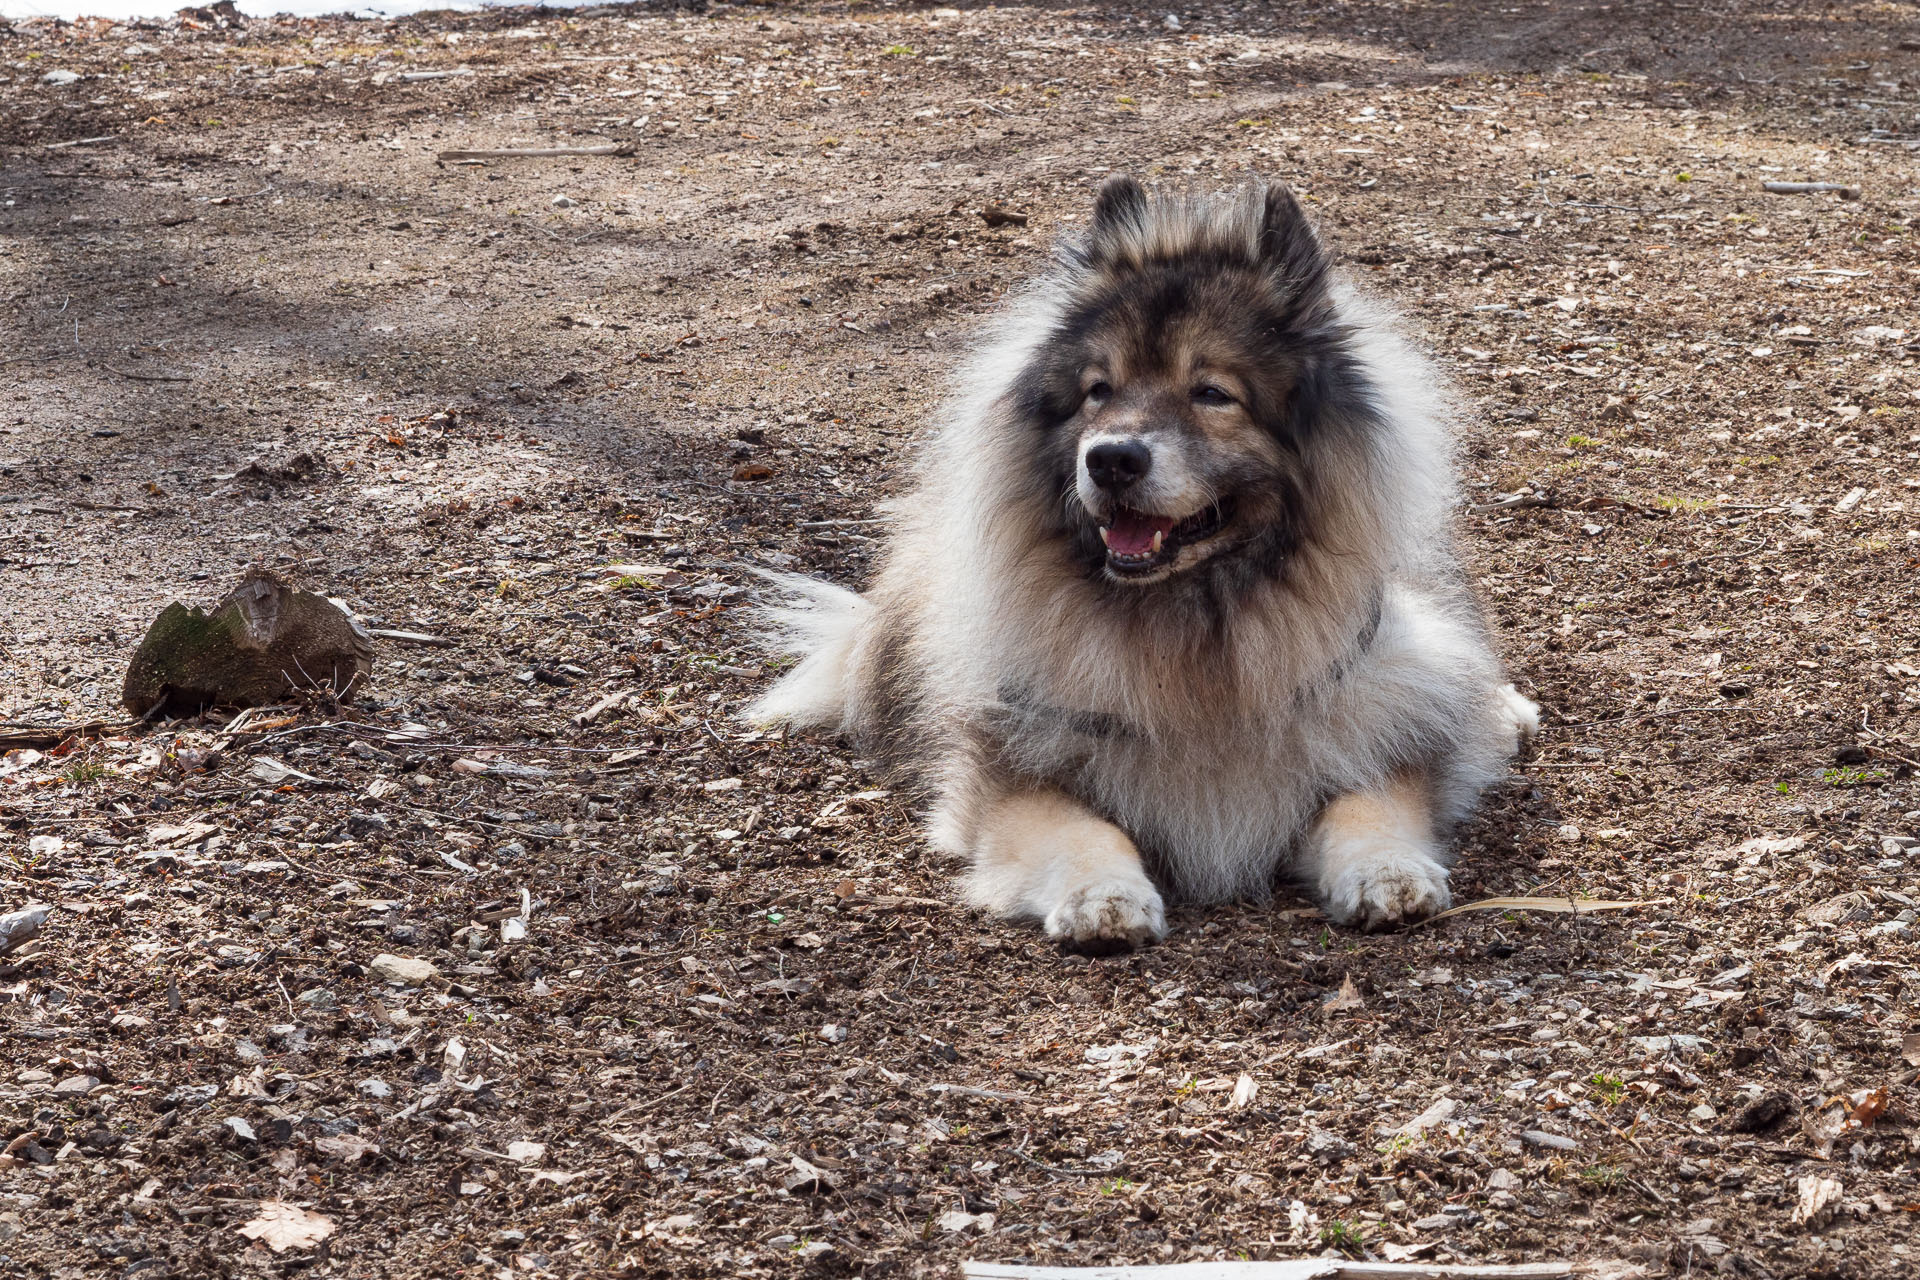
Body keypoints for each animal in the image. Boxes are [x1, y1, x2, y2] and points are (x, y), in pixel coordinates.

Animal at [741, 175, 1536, 948]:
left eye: (1212, 393)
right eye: (1100, 391)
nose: (1112, 459)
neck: (1197, 638)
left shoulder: (1378, 718)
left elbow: (1371, 800)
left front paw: (1390, 873)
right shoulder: (1012, 768)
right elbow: (1082, 829)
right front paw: (1102, 898)